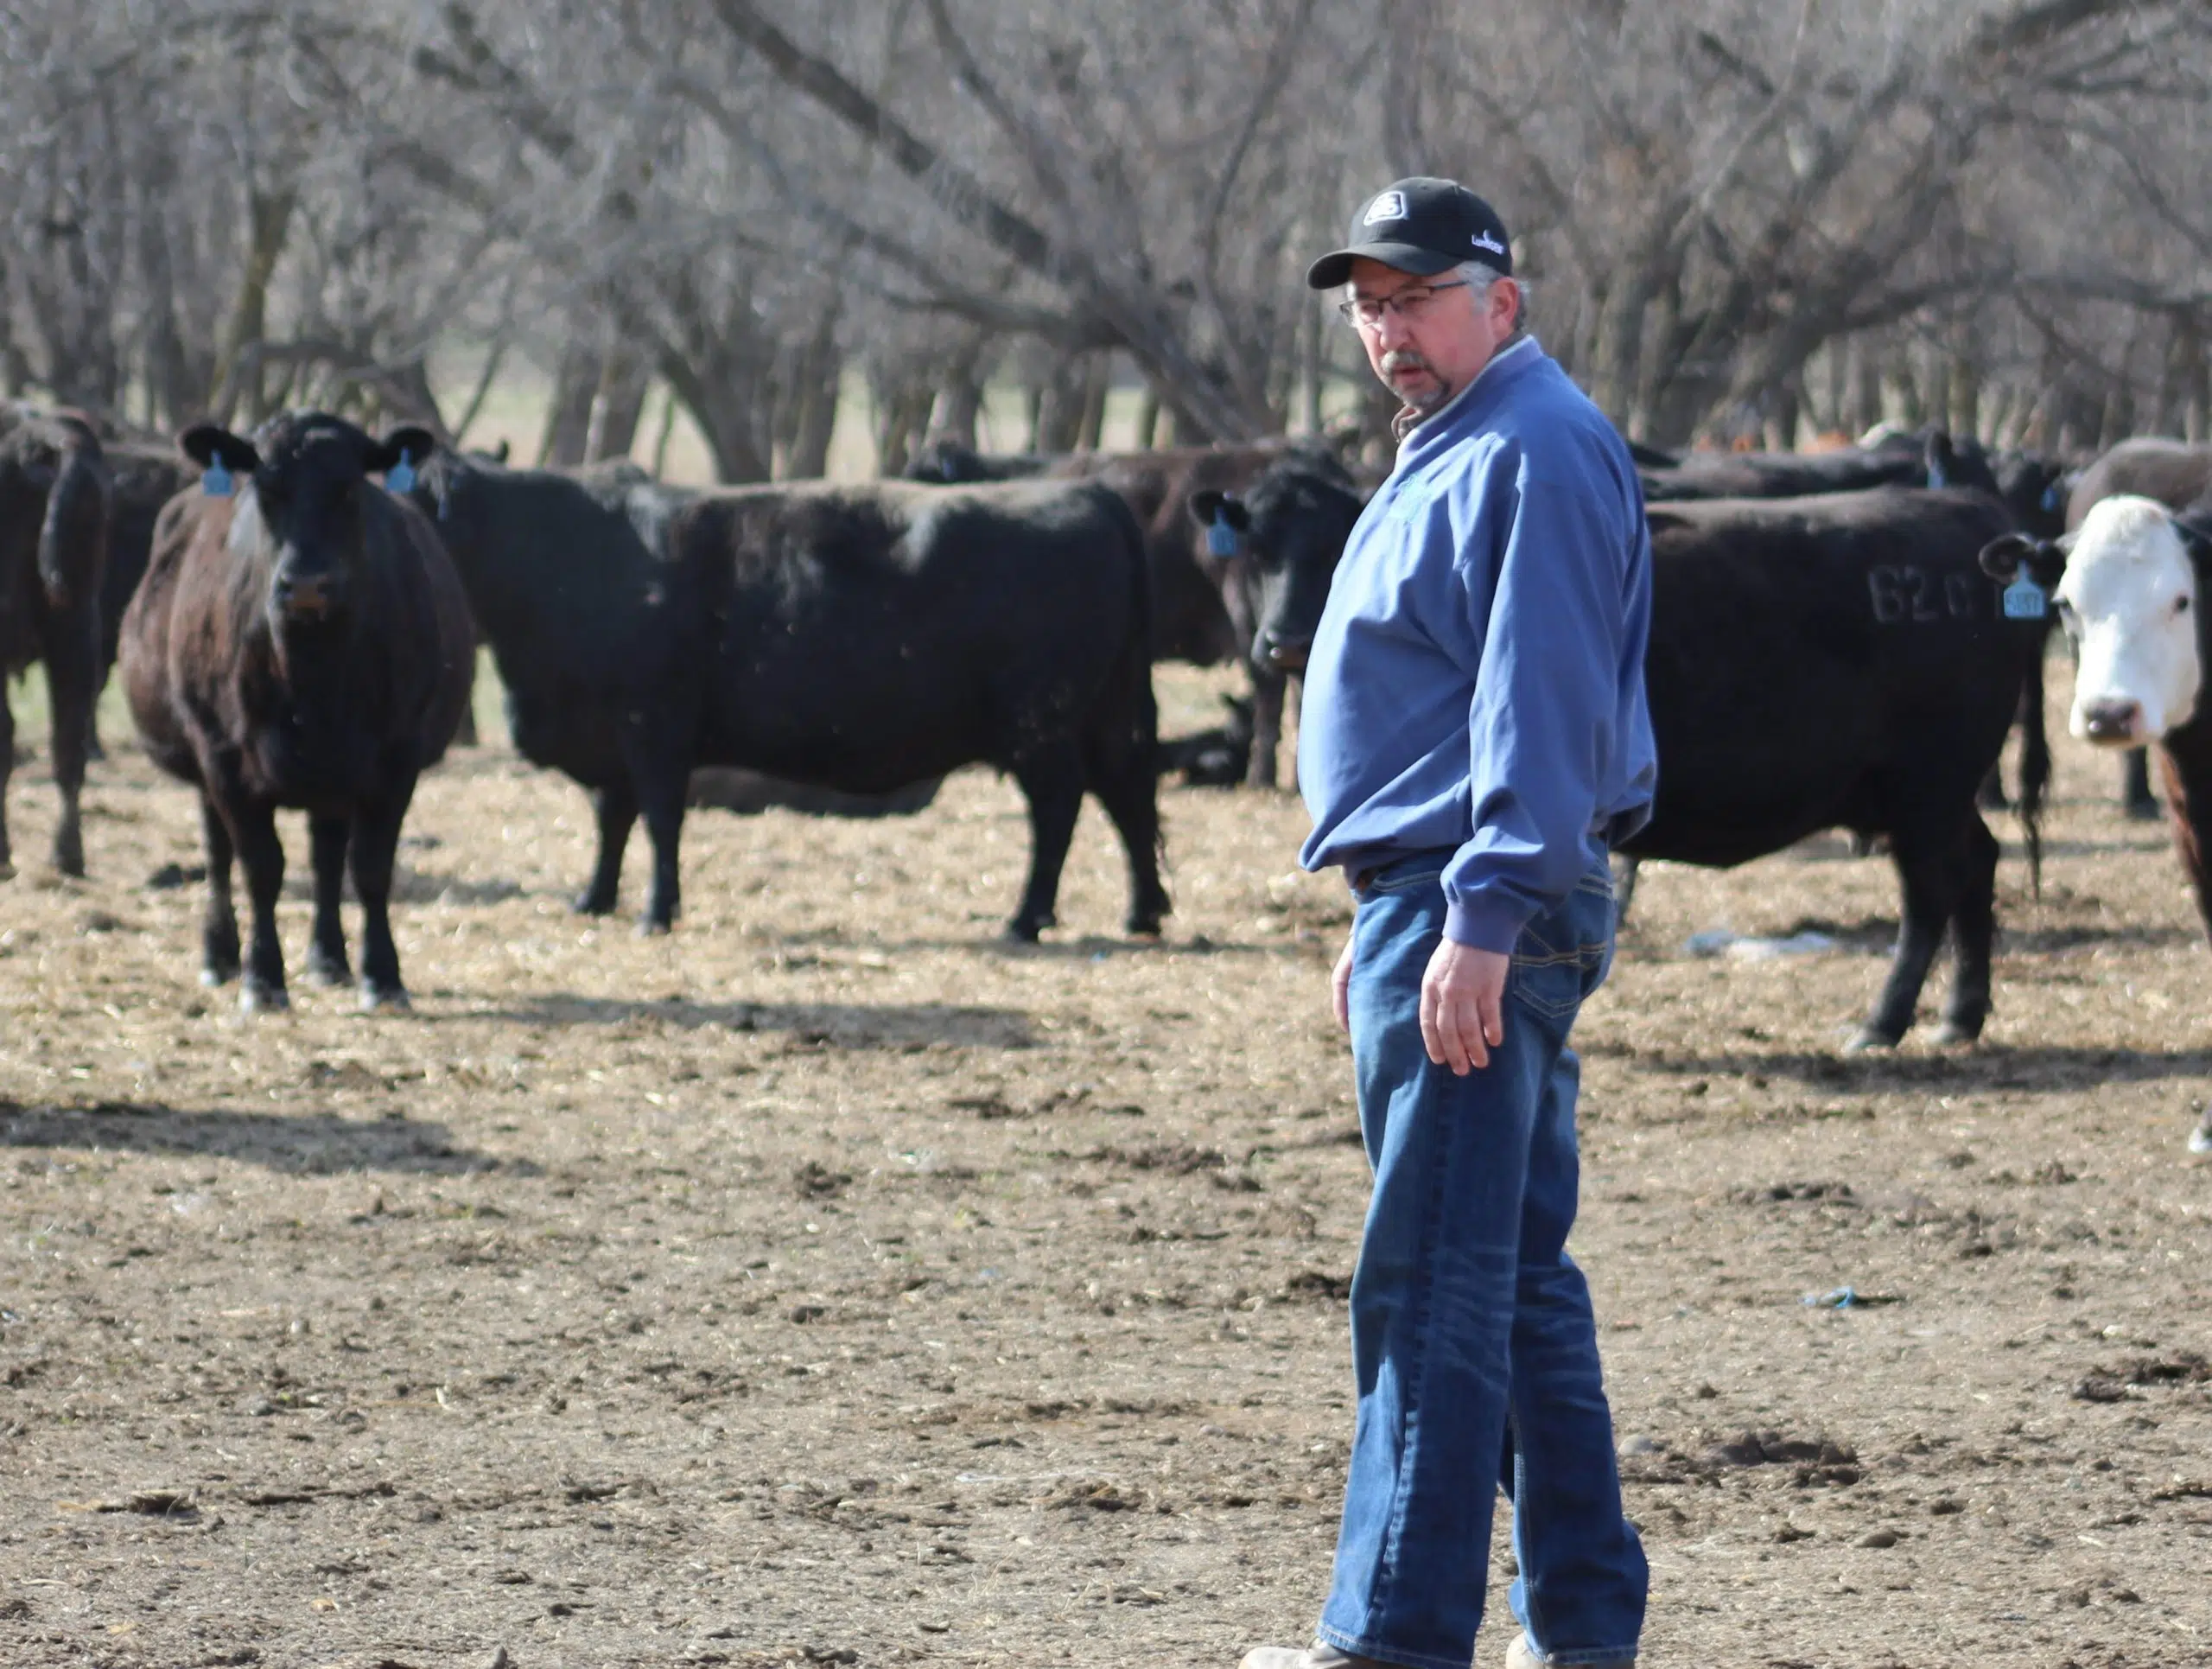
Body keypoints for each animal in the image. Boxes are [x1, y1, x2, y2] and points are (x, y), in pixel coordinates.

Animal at [119, 414, 474, 1011]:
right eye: (266, 489)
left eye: (350, 488)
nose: (306, 584)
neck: (314, 677)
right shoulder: (224, 756)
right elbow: (260, 867)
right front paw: (263, 979)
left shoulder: (395, 757)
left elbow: (370, 867)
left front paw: (383, 976)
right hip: (206, 763)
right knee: (218, 854)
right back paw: (219, 955)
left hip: (334, 778)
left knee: (327, 857)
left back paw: (329, 959)